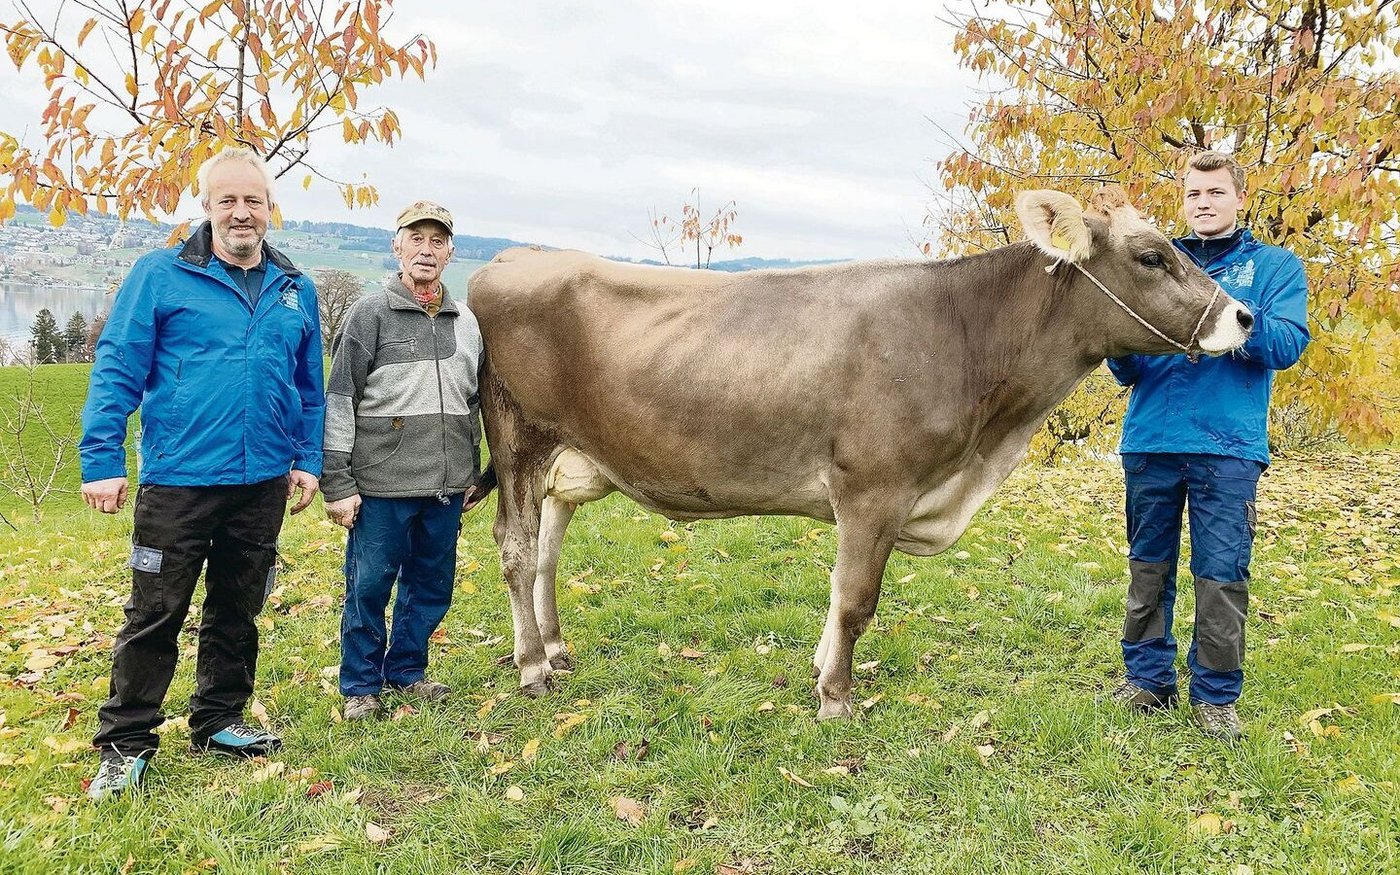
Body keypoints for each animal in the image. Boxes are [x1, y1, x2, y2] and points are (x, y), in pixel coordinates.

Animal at [467, 187, 1254, 719]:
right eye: (1151, 256)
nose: (1244, 317)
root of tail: (510, 258)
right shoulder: (874, 486)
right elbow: (855, 598)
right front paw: (836, 697)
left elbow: (841, 598)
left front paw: (823, 672)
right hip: (518, 436)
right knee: (515, 546)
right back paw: (532, 667)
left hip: (568, 457)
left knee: (547, 548)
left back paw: (556, 647)